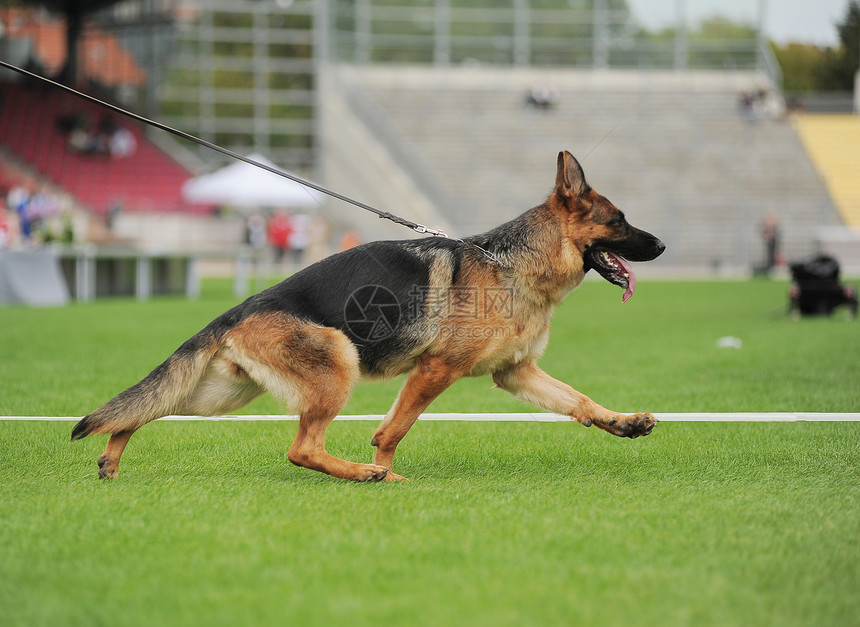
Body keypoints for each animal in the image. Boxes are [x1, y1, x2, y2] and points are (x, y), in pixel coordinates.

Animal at [74, 152, 664, 480]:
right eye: (619, 221)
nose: (662, 244)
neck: (513, 264)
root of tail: (243, 306)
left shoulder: (516, 373)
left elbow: (578, 401)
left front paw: (622, 422)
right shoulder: (437, 370)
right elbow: (394, 430)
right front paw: (385, 470)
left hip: (221, 395)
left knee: (145, 409)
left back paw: (112, 456)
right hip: (339, 363)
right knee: (302, 448)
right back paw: (363, 475)